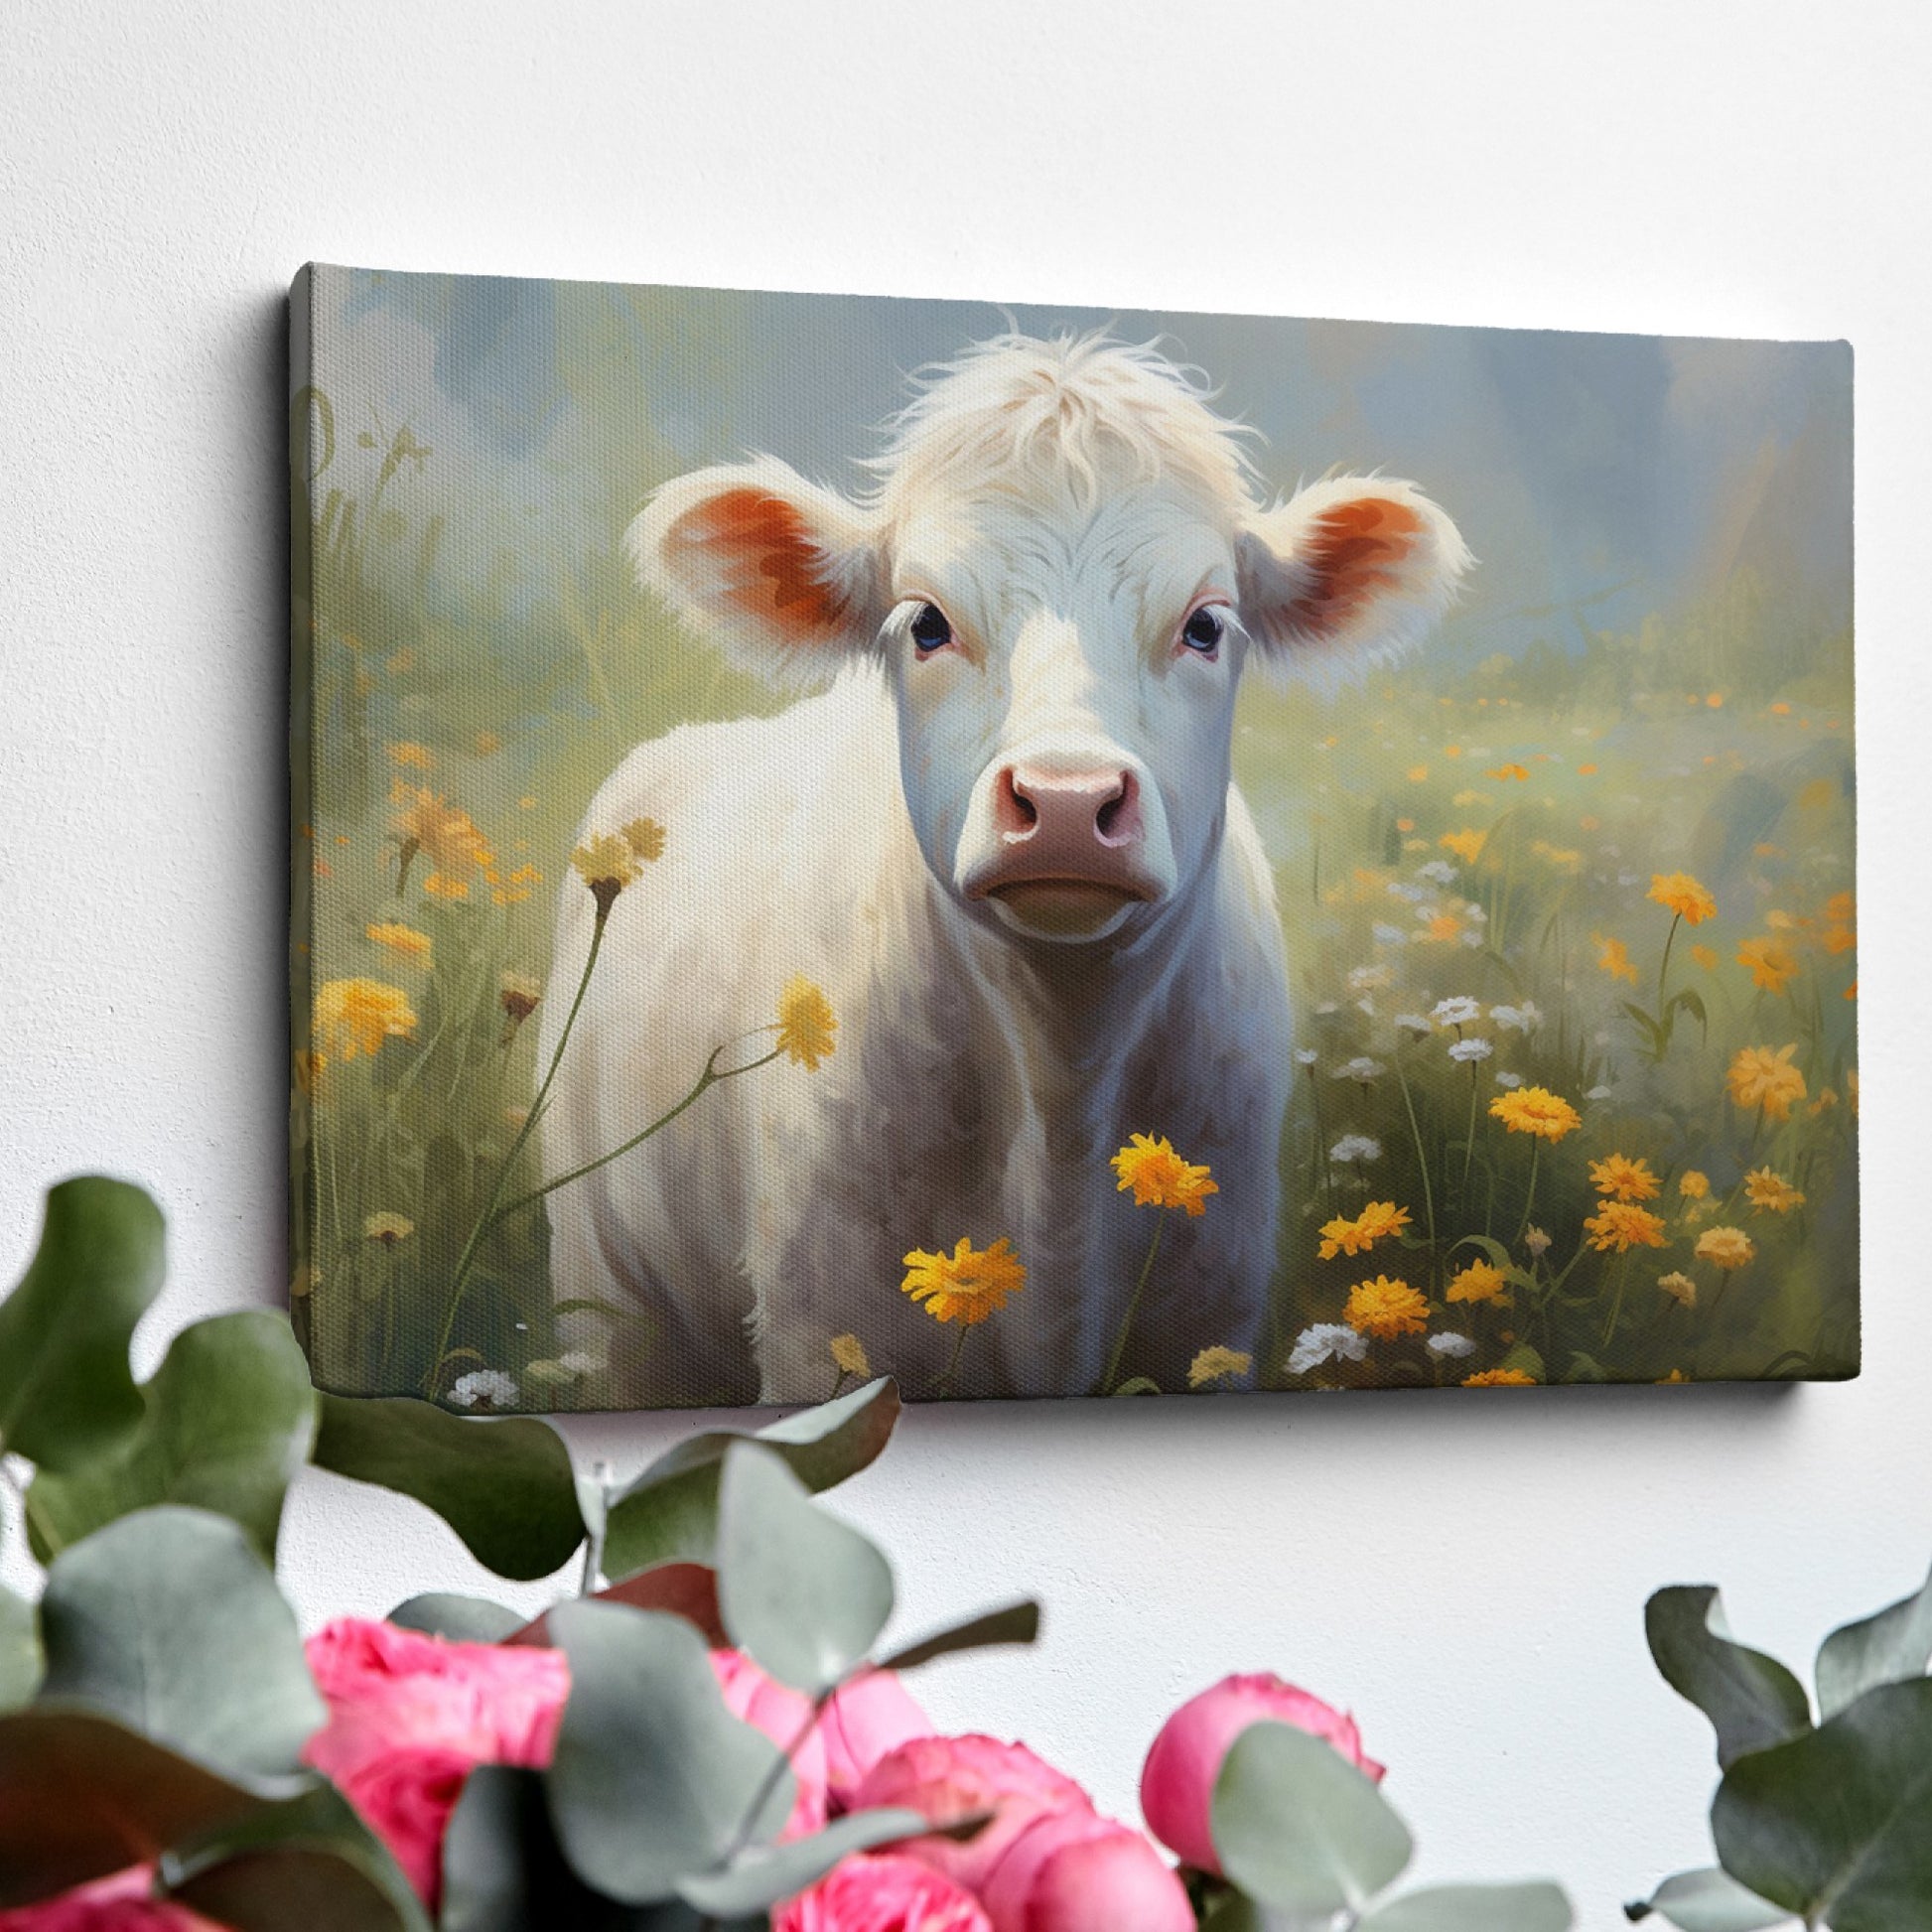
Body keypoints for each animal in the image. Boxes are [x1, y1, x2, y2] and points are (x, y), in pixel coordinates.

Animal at [536, 336, 1452, 1406]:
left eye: (1206, 625)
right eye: (926, 622)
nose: (1065, 804)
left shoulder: (1209, 1325)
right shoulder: (820, 1330)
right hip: (605, 1292)